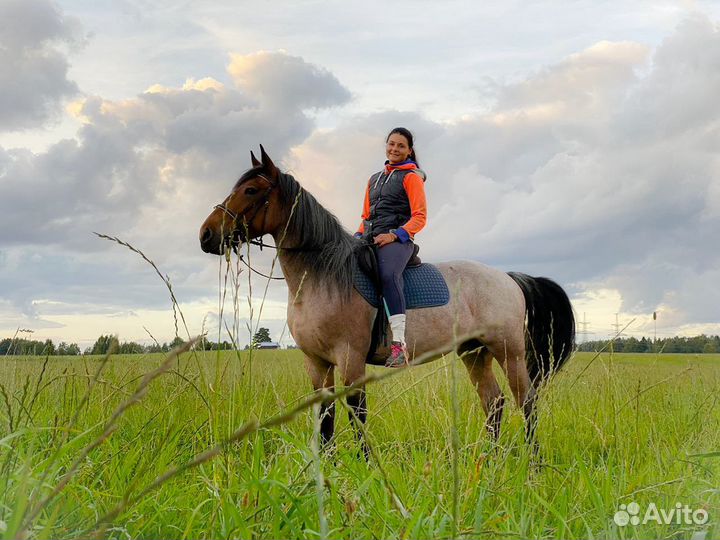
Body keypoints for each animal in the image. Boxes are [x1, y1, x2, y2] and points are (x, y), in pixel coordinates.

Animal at [199, 146, 575, 453]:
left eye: (250, 190)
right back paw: (490, 462)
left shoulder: (350, 358)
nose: (206, 235)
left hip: (508, 351)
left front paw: (365, 468)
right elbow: (325, 417)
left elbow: (357, 412)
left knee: (526, 402)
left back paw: (533, 465)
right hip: (474, 352)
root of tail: (507, 278)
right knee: (494, 403)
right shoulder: (316, 362)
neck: (321, 277)